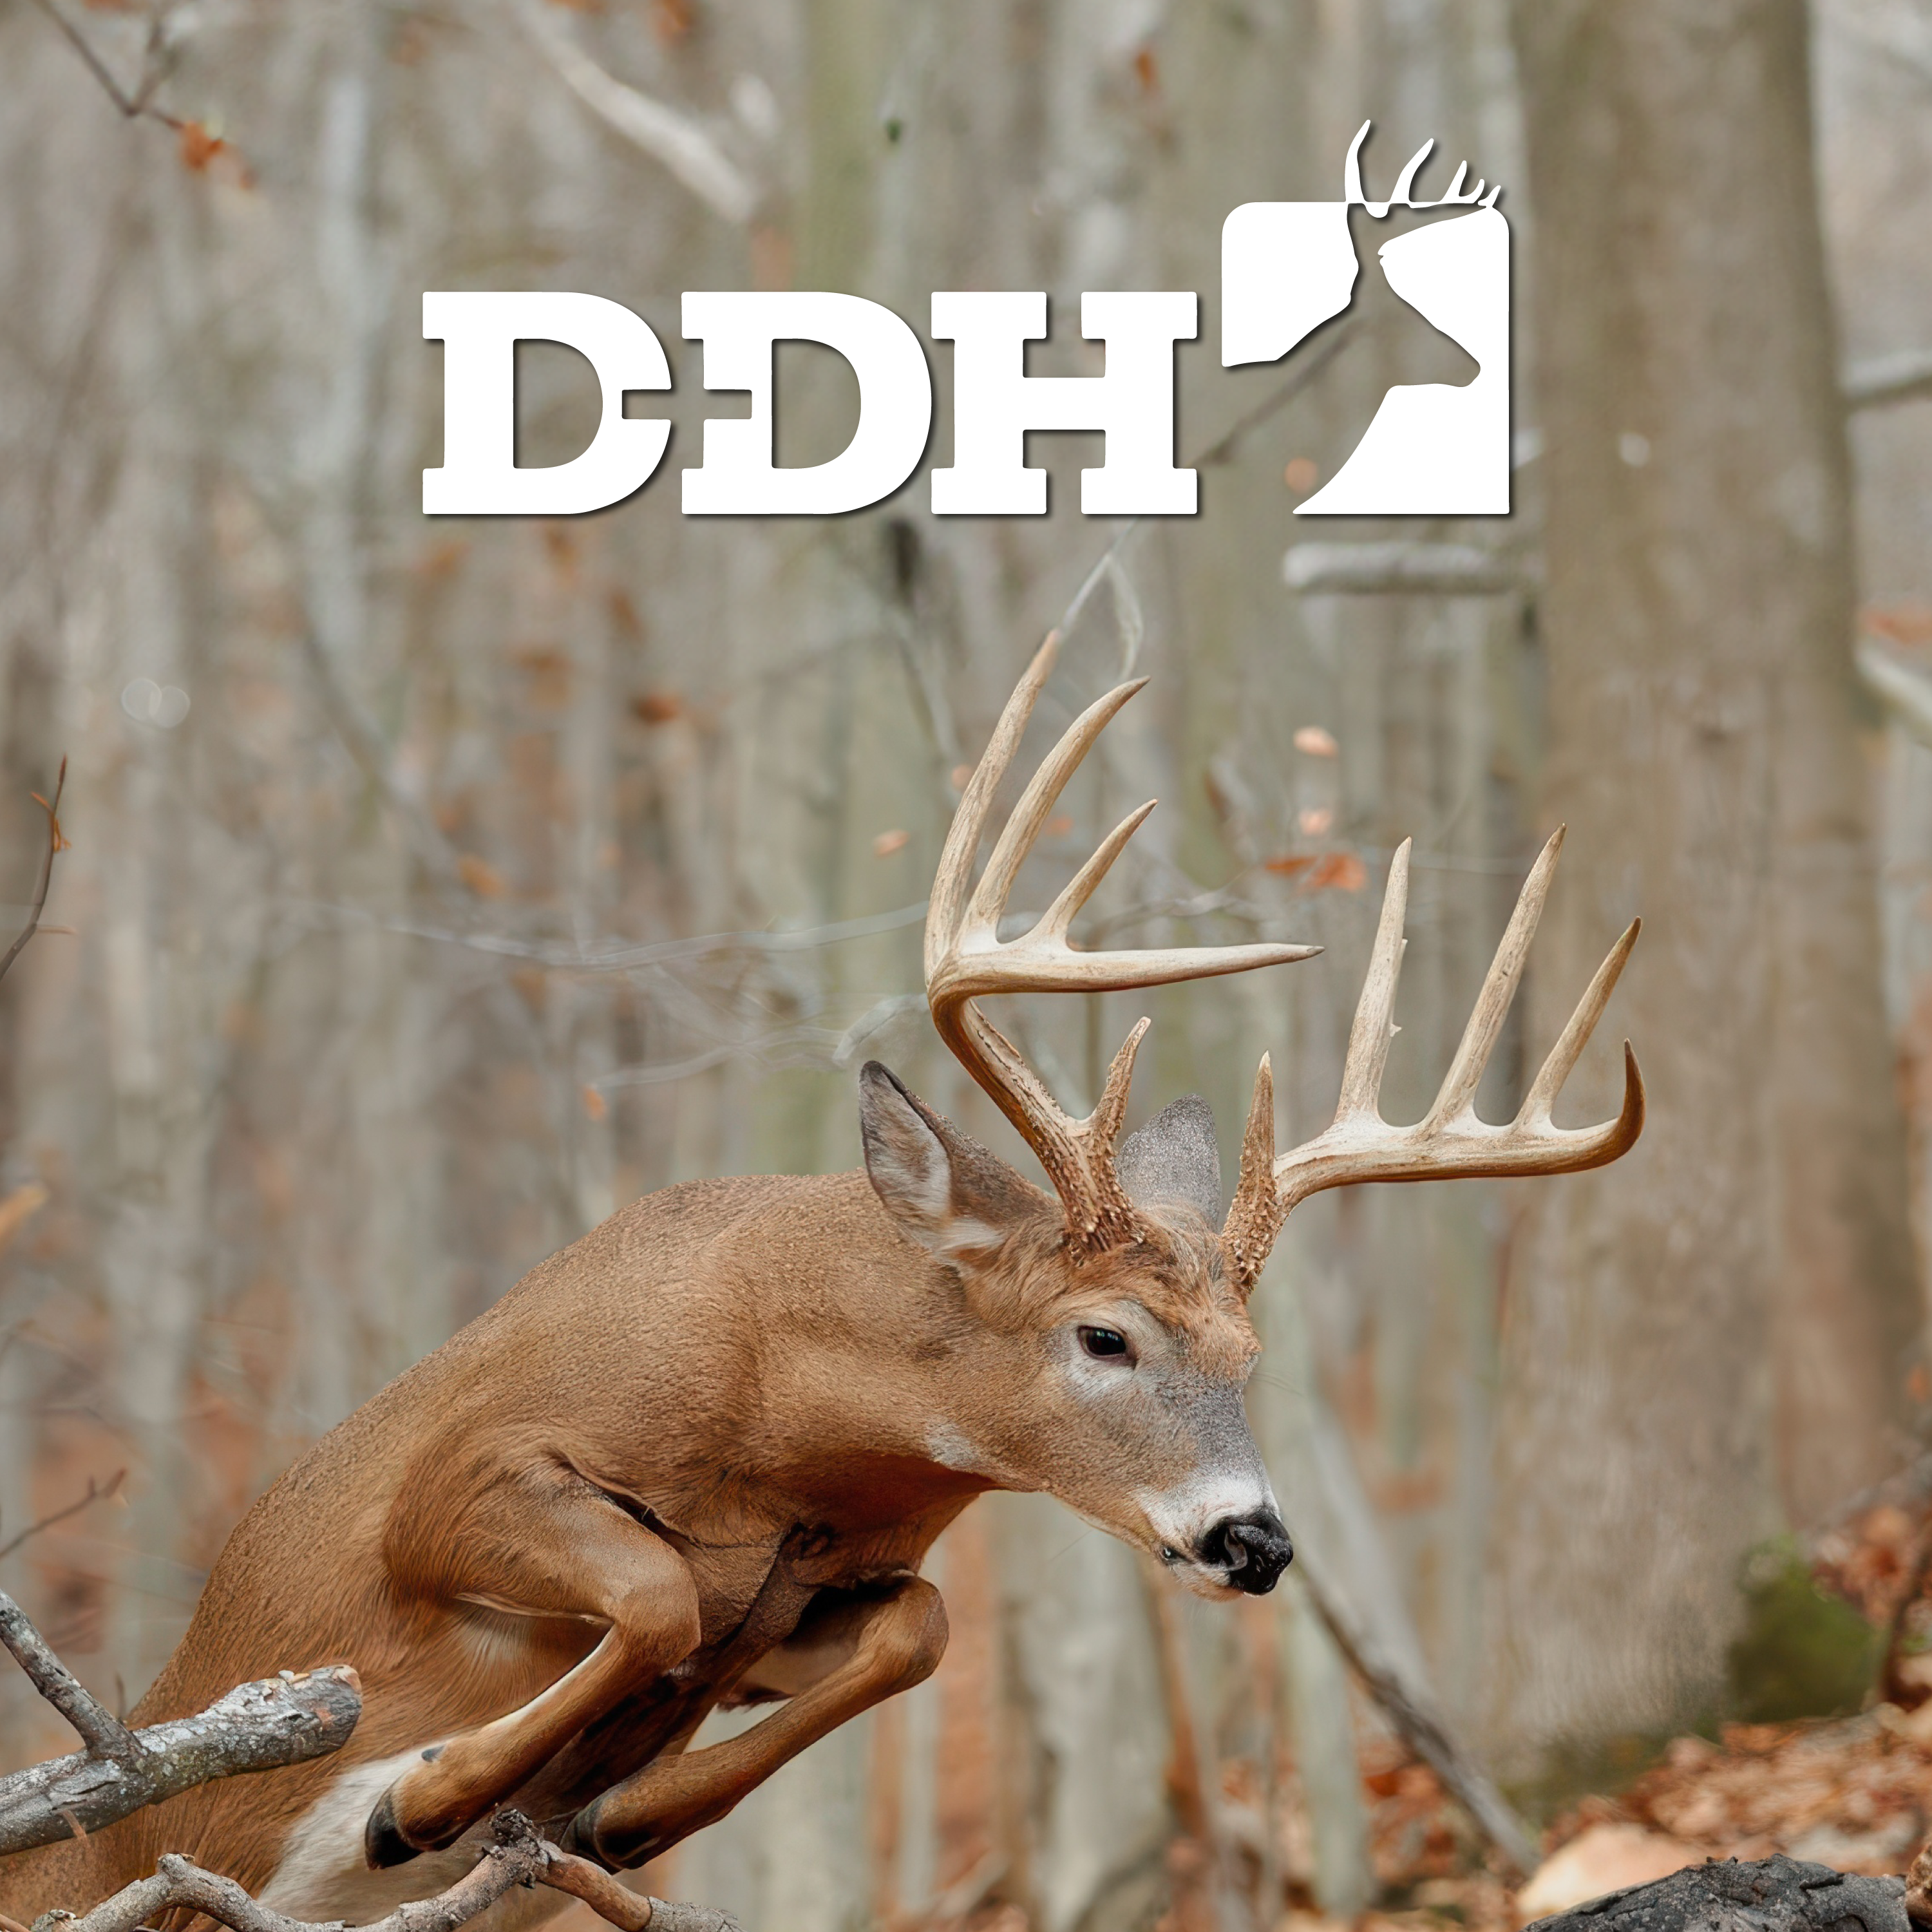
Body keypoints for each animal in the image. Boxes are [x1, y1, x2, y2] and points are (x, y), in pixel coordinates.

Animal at [0, 636, 1643, 1932]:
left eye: (1246, 1353)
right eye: (1103, 1336)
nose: (1253, 1540)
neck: (781, 1416)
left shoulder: (809, 1602)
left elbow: (915, 1626)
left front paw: (613, 1815)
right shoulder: (458, 1477)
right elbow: (655, 1587)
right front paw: (414, 1802)